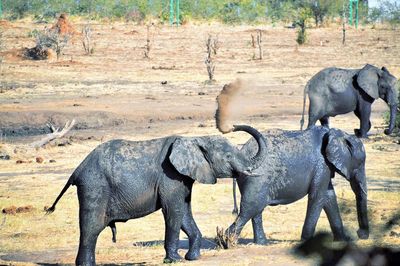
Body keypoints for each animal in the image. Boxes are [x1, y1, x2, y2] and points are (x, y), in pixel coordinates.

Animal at [46, 124, 266, 266]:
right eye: (228, 156)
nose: (233, 126)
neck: (196, 139)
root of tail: (77, 170)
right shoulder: (170, 176)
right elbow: (173, 212)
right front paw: (174, 260)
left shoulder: (182, 178)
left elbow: (183, 212)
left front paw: (193, 258)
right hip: (94, 186)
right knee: (91, 228)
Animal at [228, 127, 368, 245]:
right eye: (361, 163)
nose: (360, 234)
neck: (336, 133)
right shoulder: (322, 165)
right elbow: (318, 197)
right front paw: (307, 242)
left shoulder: (325, 167)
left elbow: (329, 197)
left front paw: (343, 241)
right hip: (258, 177)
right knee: (251, 207)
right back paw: (228, 241)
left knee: (256, 209)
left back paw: (262, 244)